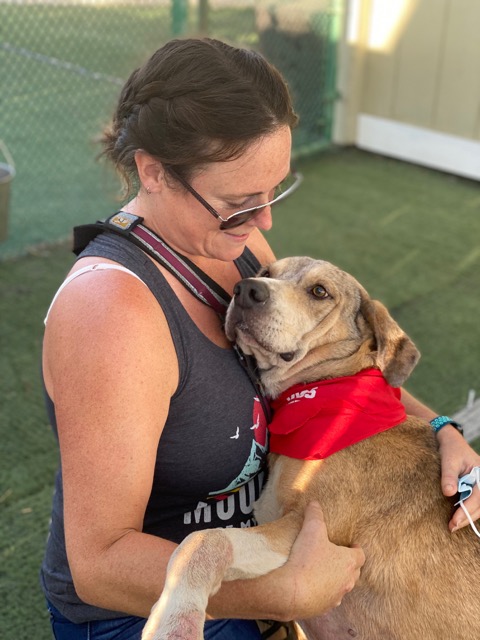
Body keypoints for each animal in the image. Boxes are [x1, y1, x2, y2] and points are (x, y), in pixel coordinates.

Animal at [142, 256, 480, 640]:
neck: (329, 390)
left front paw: (175, 621)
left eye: (320, 291)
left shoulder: (313, 528)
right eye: (268, 273)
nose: (246, 289)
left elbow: (205, 541)